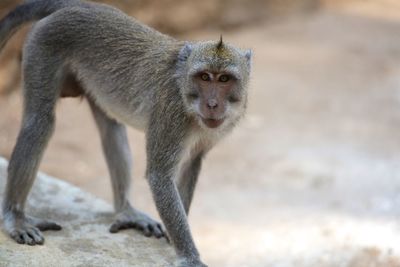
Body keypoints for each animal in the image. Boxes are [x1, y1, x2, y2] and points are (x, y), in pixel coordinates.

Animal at [0, 1, 250, 266]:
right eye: (204, 77)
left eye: (224, 79)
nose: (212, 104)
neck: (185, 92)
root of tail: (79, 6)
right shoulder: (170, 113)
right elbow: (160, 177)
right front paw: (189, 255)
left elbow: (191, 163)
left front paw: (174, 238)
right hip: (43, 46)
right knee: (39, 123)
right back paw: (15, 218)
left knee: (111, 127)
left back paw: (125, 210)